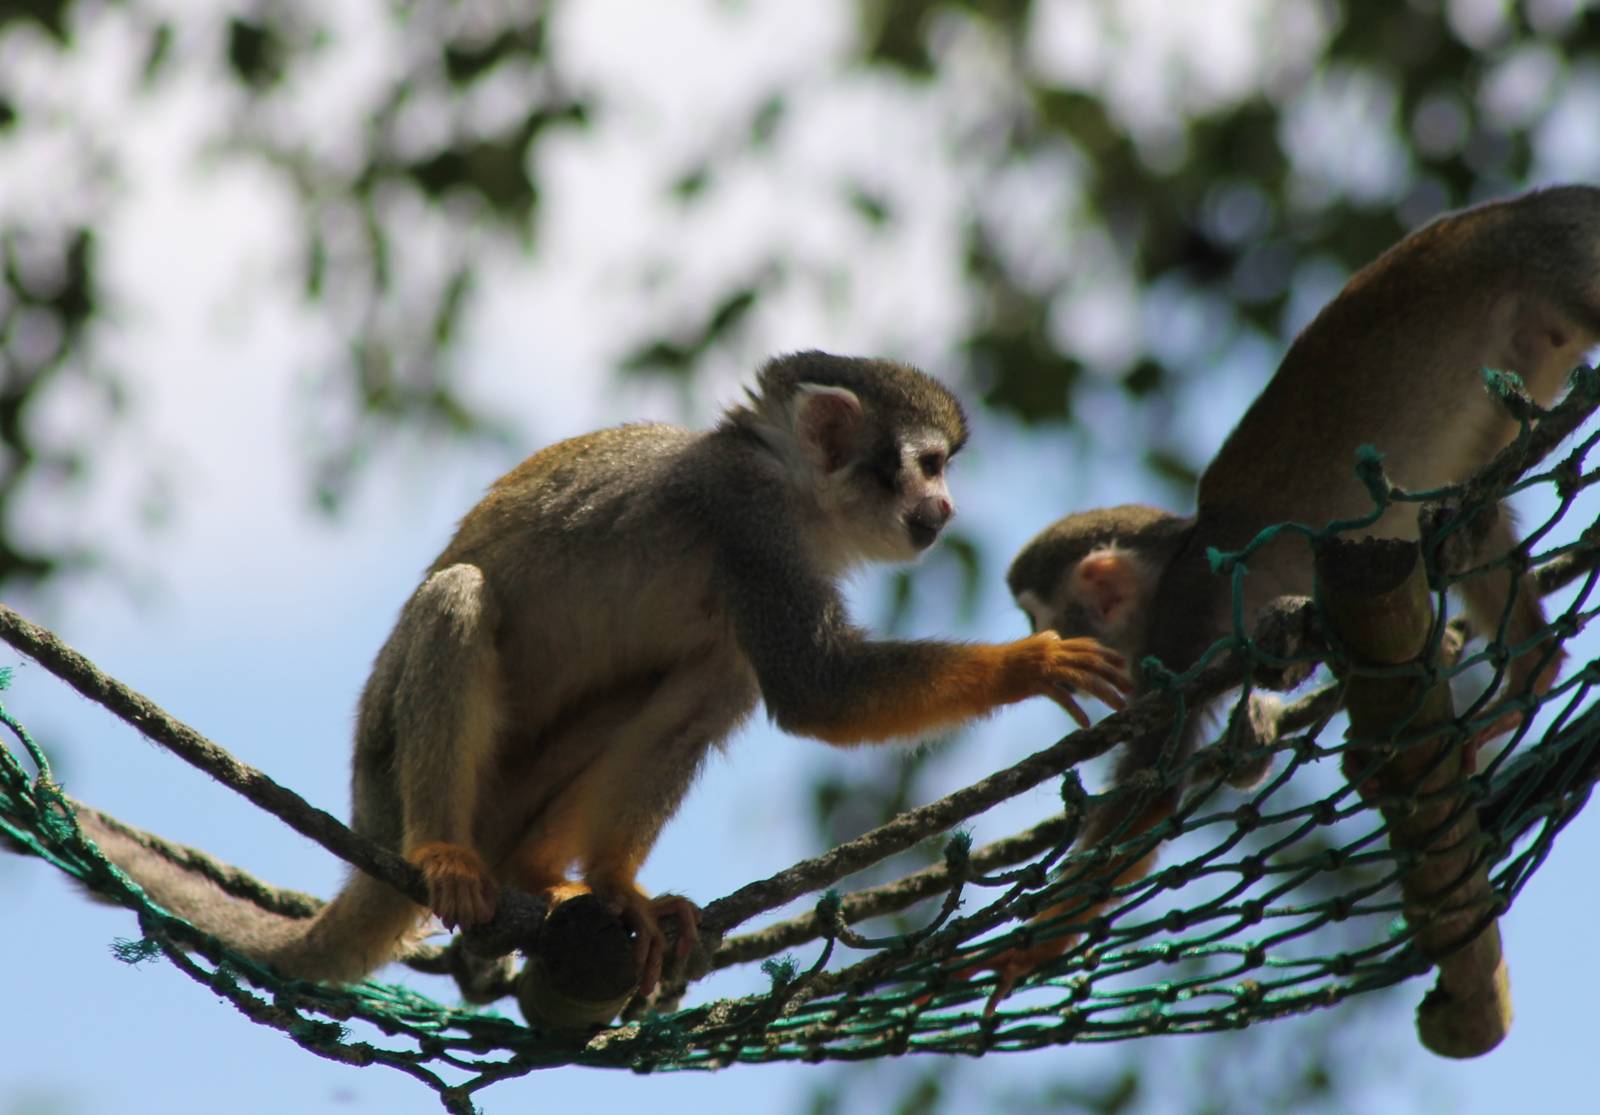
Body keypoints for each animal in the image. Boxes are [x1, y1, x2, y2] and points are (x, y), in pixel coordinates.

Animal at [84, 351, 1132, 999]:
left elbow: (747, 684)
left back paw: (570, 881)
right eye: (926, 464)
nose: (945, 510)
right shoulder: (750, 525)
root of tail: (372, 835)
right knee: (460, 596)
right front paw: (1032, 661)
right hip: (382, 768)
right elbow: (816, 689)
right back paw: (443, 851)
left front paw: (624, 887)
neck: (795, 490)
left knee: (714, 673)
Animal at [977, 184, 1600, 1009]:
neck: (1181, 554)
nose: (1049, 658)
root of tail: (1540, 205)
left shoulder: (1179, 628)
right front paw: (1255, 729)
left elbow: (1151, 792)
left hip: (1563, 259)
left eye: (1043, 621)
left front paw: (1023, 948)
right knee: (1475, 510)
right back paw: (1527, 676)